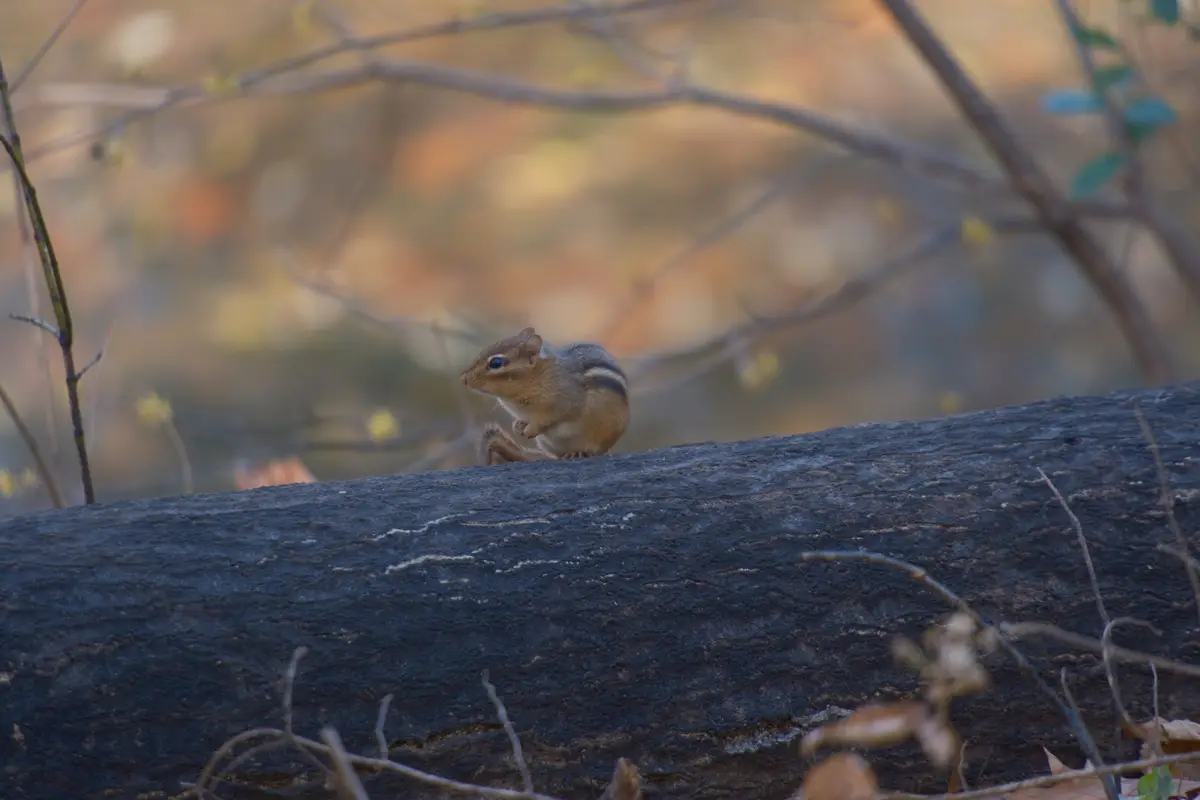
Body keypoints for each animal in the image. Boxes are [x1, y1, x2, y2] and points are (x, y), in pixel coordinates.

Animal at [460, 326, 629, 465]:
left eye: (496, 363)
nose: (464, 379)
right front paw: (518, 426)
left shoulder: (565, 400)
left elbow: (550, 416)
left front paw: (529, 430)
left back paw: (578, 452)